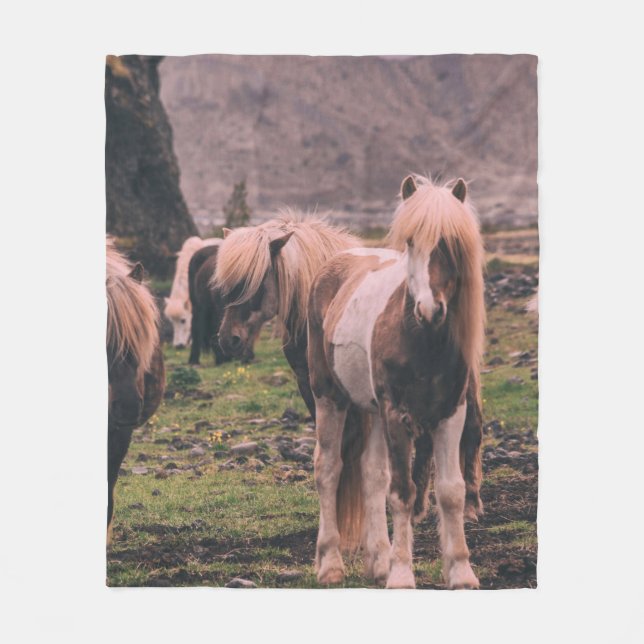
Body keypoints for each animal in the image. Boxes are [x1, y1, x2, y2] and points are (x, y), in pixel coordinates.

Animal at [307, 175, 485, 589]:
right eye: (410, 242)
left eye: (451, 243)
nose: (429, 310)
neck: (421, 341)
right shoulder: (397, 414)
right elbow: (403, 492)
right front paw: (402, 575)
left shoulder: (451, 414)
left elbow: (451, 492)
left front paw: (461, 571)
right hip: (330, 398)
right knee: (328, 469)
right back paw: (330, 564)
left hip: (371, 410)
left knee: (372, 474)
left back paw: (378, 562)